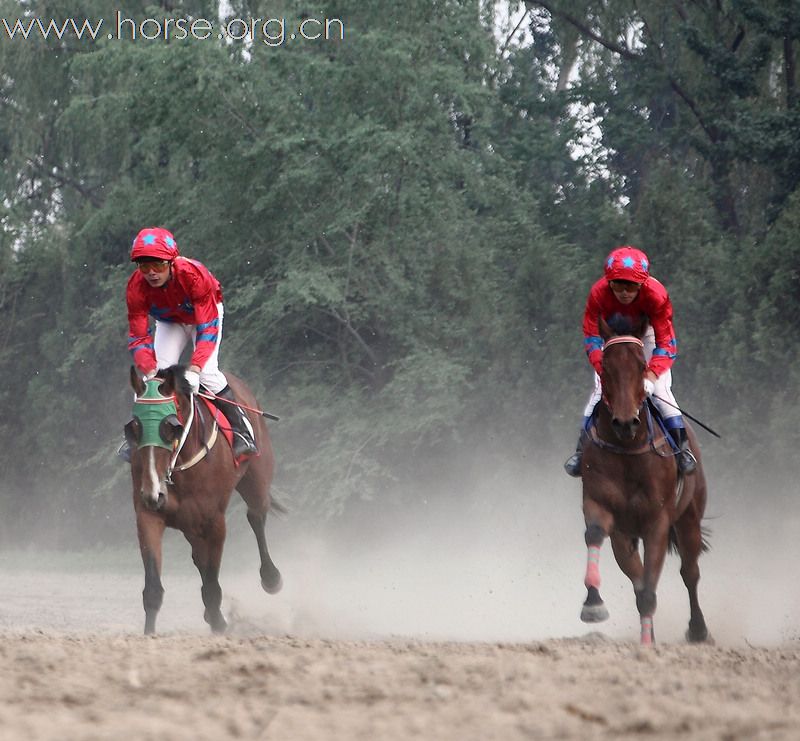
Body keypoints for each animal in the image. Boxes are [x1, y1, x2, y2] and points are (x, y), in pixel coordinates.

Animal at [580, 316, 708, 644]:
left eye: (641, 365)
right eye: (605, 367)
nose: (626, 422)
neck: (627, 451)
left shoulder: (657, 523)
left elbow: (650, 588)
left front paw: (647, 646)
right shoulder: (609, 516)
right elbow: (596, 535)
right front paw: (593, 604)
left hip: (689, 517)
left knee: (690, 572)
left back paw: (699, 630)